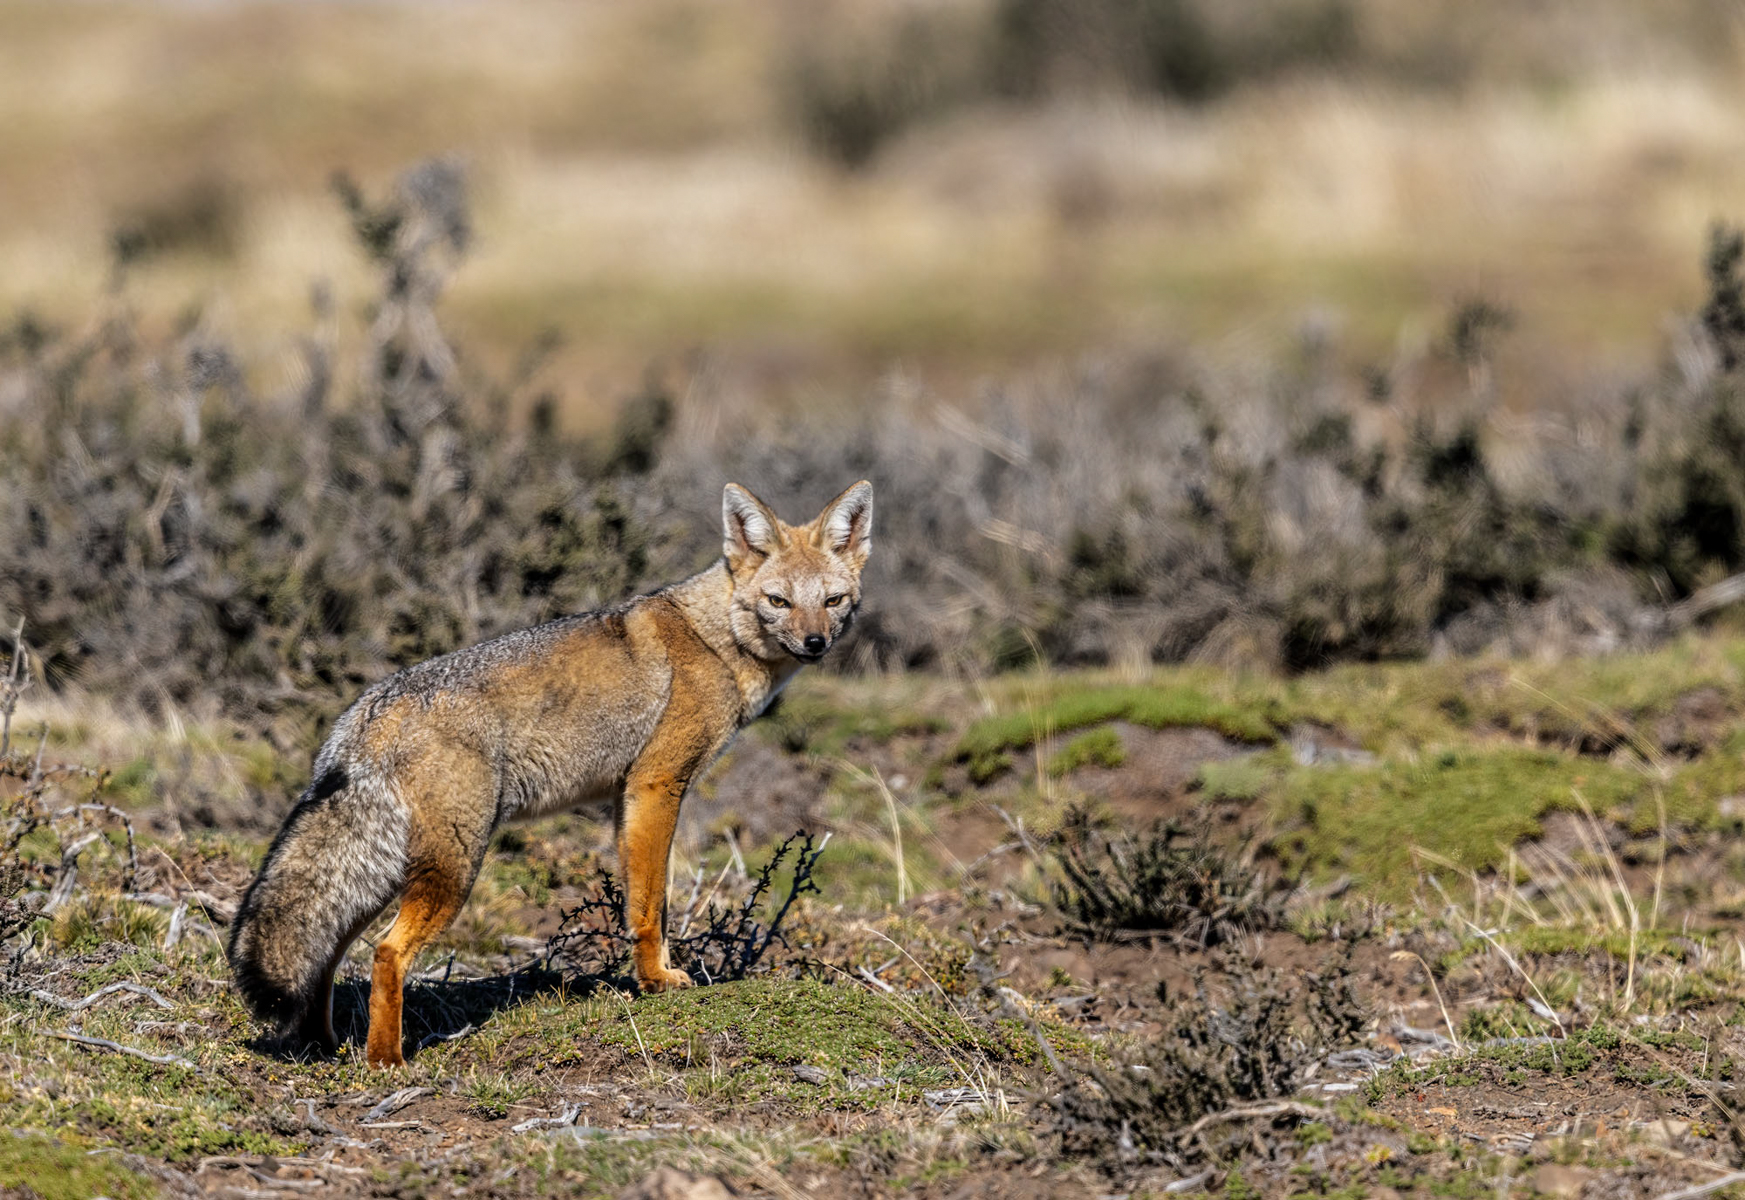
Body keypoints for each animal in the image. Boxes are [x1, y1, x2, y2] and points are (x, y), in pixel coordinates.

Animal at [227, 480, 872, 1066]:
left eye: (833, 600)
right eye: (779, 601)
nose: (815, 642)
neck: (713, 639)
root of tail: (371, 707)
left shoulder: (625, 798)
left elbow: (643, 900)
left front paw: (650, 975)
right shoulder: (657, 785)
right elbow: (651, 906)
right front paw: (657, 981)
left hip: (382, 874)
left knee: (330, 954)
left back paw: (325, 1045)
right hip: (453, 867)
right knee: (386, 954)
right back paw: (386, 1061)